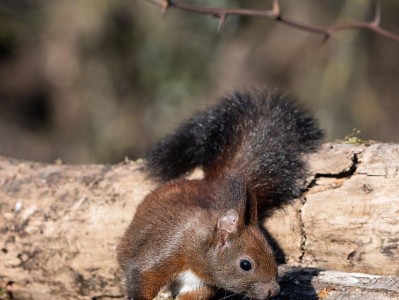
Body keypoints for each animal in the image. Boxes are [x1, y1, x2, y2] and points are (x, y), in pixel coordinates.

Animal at [117, 89, 324, 300]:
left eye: (272, 254)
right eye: (245, 264)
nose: (273, 291)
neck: (200, 246)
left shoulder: (198, 282)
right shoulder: (166, 250)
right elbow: (142, 278)